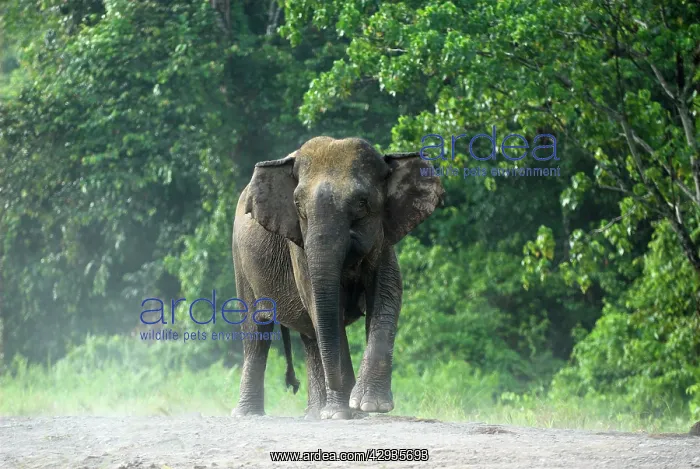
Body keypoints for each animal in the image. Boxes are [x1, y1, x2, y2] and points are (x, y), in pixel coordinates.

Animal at [231, 136, 443, 419]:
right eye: (298, 206)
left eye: (362, 203)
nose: (293, 385)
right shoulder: (298, 243)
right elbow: (321, 304)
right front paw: (343, 413)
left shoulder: (384, 234)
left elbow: (387, 293)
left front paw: (369, 406)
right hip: (240, 260)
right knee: (258, 333)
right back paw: (250, 414)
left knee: (310, 336)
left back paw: (315, 413)